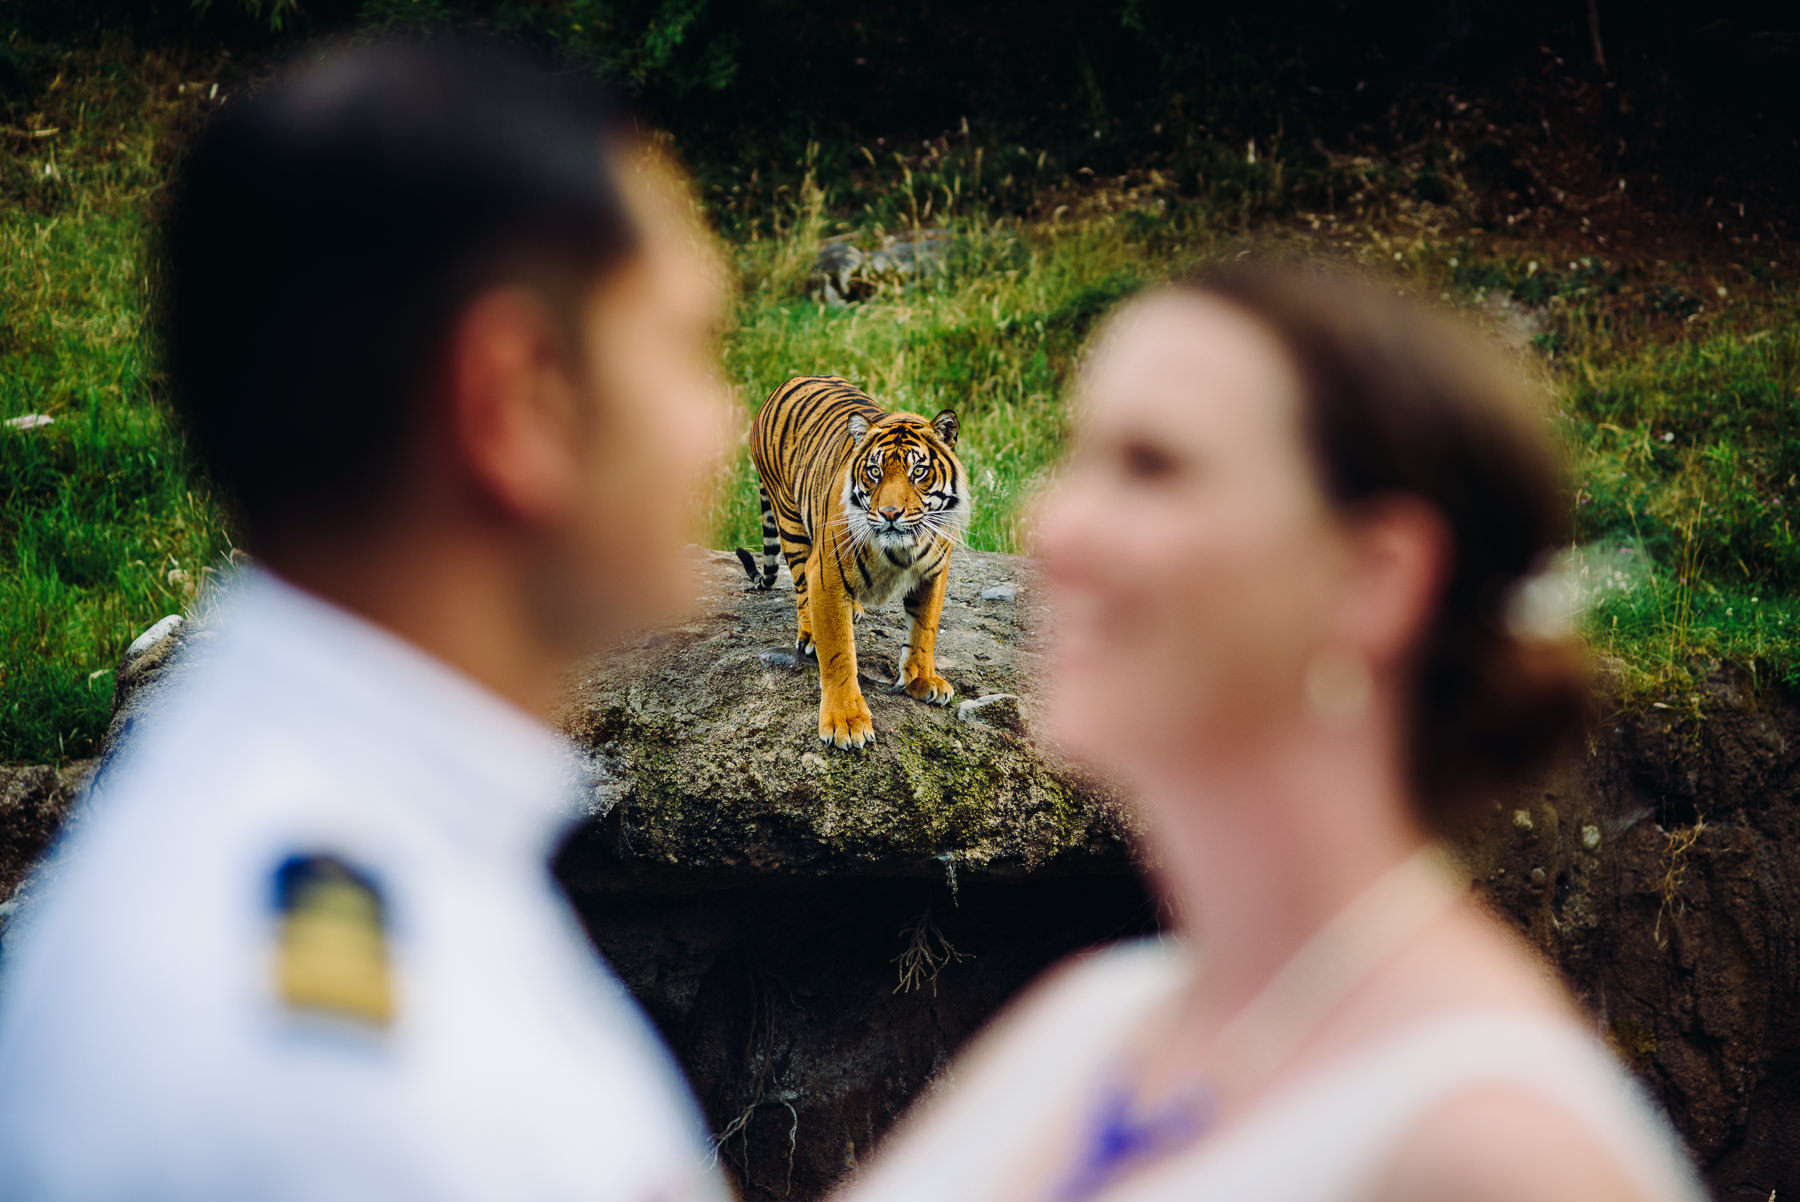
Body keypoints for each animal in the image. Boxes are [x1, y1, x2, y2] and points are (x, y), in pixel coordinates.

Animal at [738, 376, 972, 752]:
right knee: (800, 586)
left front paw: (922, 680)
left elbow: (924, 630)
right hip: (790, 523)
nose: (890, 514)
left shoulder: (934, 571)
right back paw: (810, 634)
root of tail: (789, 380)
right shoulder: (827, 575)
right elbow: (838, 654)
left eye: (918, 471)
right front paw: (846, 722)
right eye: (874, 472)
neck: (898, 551)